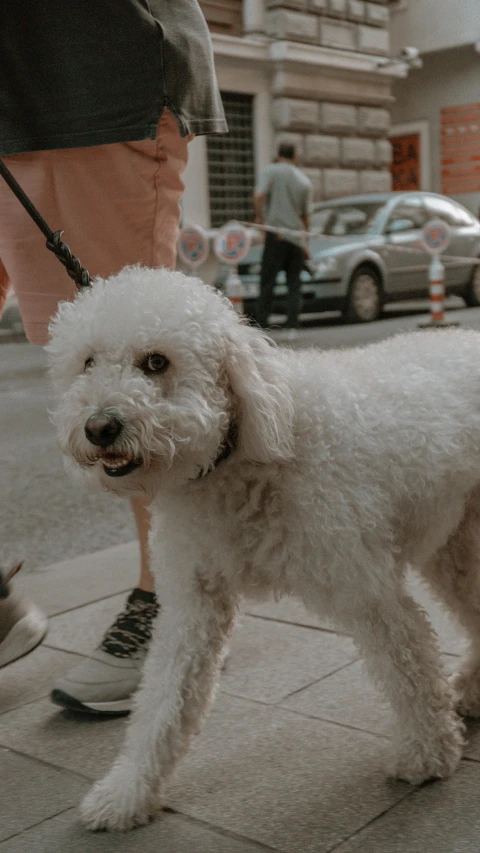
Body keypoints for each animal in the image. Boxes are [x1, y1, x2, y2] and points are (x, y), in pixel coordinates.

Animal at [47, 262, 480, 828]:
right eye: (88, 362)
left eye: (156, 361)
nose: (99, 427)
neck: (233, 461)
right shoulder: (192, 601)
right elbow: (164, 698)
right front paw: (128, 792)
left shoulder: (366, 588)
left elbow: (407, 665)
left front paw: (427, 755)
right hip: (453, 543)